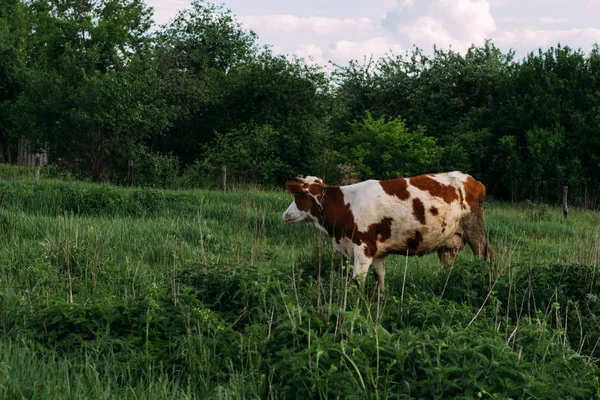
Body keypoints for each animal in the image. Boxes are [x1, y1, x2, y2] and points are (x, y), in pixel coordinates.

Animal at [284, 170, 494, 290]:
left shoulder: (364, 248)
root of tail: (473, 180)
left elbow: (358, 282)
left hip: (473, 227)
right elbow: (380, 281)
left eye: (296, 196)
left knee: (485, 255)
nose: (285, 215)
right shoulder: (378, 252)